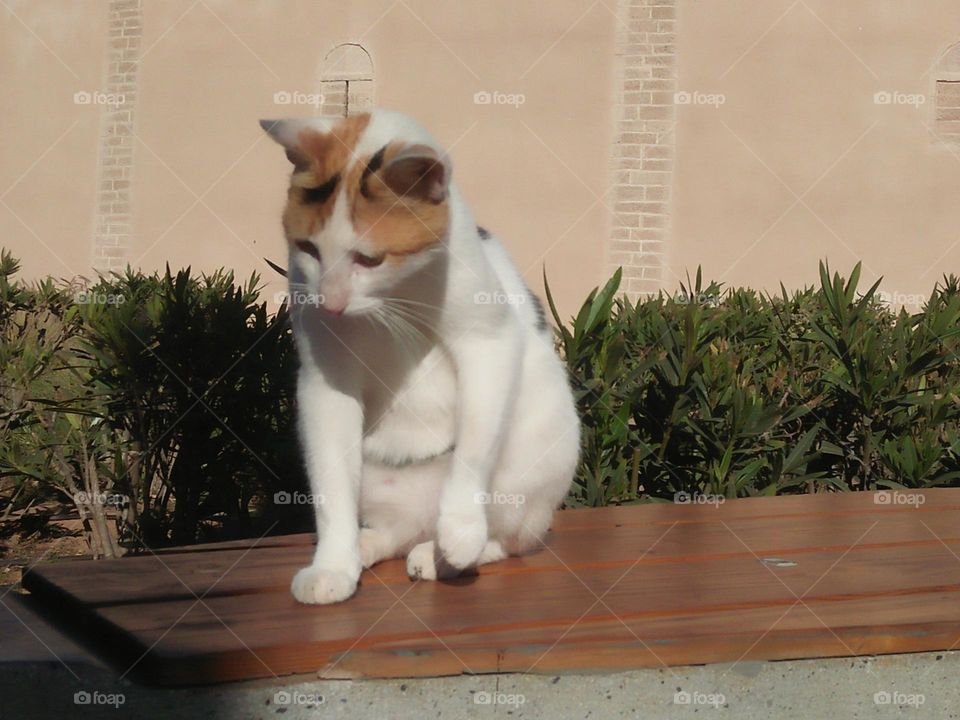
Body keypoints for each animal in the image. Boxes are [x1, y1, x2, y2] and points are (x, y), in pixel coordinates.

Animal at [258, 109, 580, 604]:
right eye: (309, 249)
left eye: (369, 259)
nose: (330, 303)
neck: (395, 300)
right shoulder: (325, 378)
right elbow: (331, 487)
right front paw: (333, 564)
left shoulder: (488, 343)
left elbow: (475, 444)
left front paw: (461, 531)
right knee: (389, 528)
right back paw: (368, 546)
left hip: (534, 463)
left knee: (507, 541)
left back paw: (444, 556)